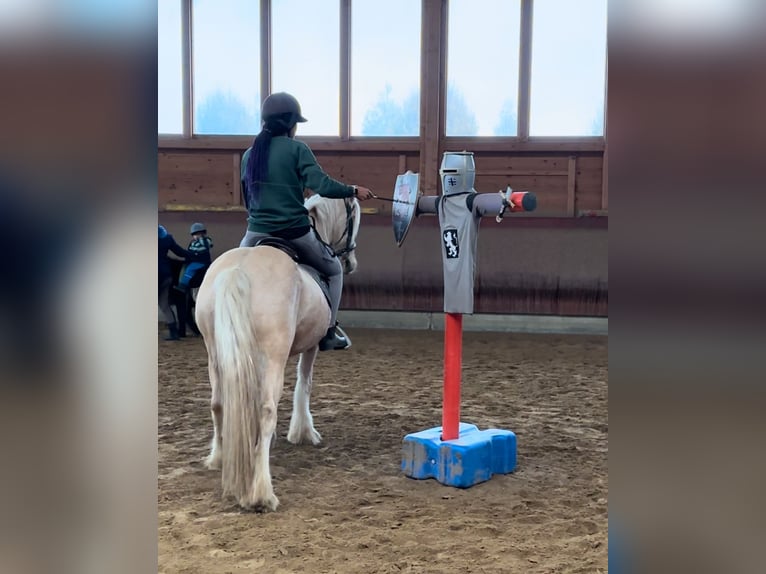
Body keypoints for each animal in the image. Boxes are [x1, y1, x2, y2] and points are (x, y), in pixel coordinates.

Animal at [192, 197, 360, 512]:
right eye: (353, 217)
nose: (350, 262)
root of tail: (239, 269)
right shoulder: (310, 346)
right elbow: (304, 383)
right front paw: (304, 433)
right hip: (273, 358)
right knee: (266, 409)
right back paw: (261, 493)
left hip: (215, 354)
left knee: (218, 403)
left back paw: (219, 458)